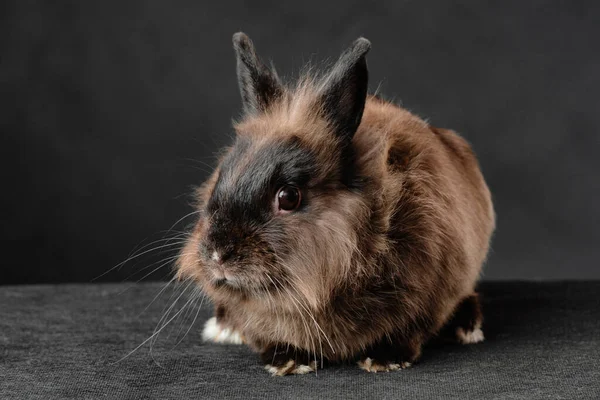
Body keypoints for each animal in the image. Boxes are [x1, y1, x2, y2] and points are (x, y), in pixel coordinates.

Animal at [177, 32, 496, 376]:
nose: (217, 255)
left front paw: (384, 359)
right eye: (221, 177)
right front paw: (287, 359)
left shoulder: (429, 292)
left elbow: (409, 330)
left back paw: (467, 328)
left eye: (288, 197)